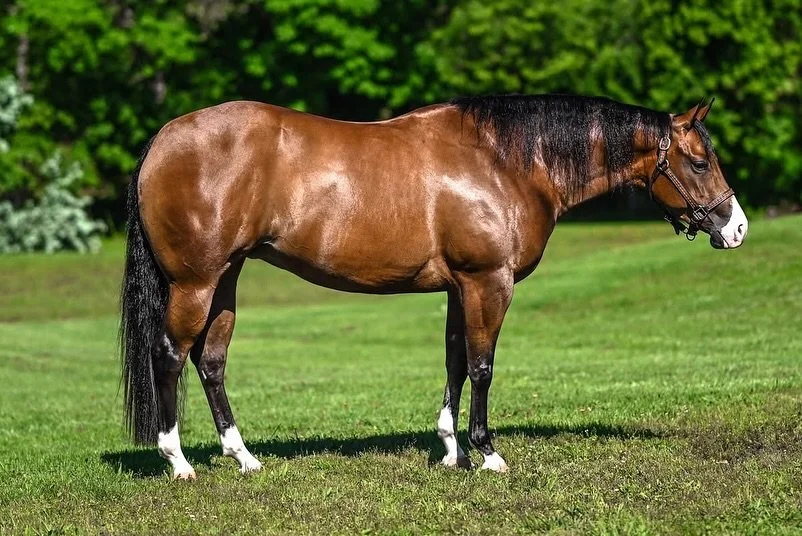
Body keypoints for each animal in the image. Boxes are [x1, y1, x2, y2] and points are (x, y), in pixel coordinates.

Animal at [120, 94, 748, 479]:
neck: (504, 162)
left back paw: (243, 457)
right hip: (196, 282)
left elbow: (454, 361)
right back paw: (178, 461)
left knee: (211, 361)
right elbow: (482, 365)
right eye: (698, 162)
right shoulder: (488, 283)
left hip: (225, 281)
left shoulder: (458, 287)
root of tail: (162, 140)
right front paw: (487, 453)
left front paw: (450, 451)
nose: (736, 227)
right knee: (170, 354)